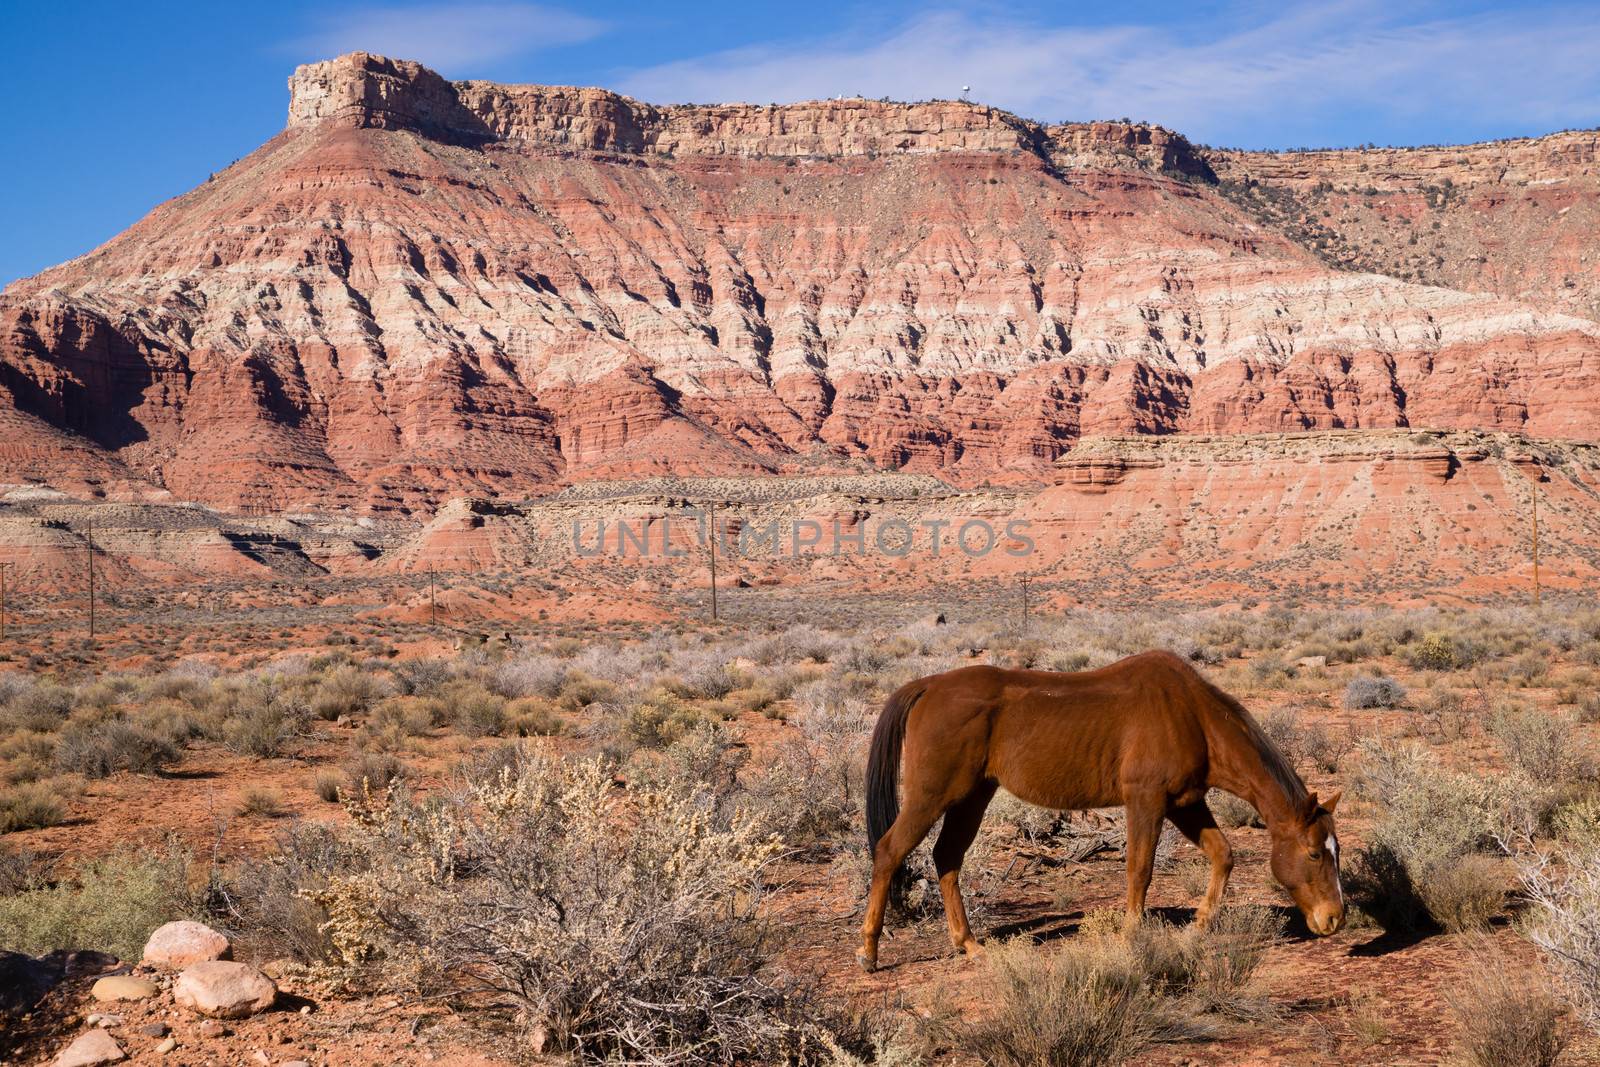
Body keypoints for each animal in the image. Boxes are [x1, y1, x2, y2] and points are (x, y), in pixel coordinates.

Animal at [857, 646, 1344, 972]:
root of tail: (928, 685)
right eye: (1314, 853)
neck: (1191, 715)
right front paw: (1131, 934)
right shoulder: (1146, 800)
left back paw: (969, 943)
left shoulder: (1186, 804)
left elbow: (1223, 854)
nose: (1334, 919)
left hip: (973, 797)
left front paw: (1200, 924)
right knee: (889, 851)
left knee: (947, 858)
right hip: (931, 797)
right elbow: (1140, 869)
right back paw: (870, 951)